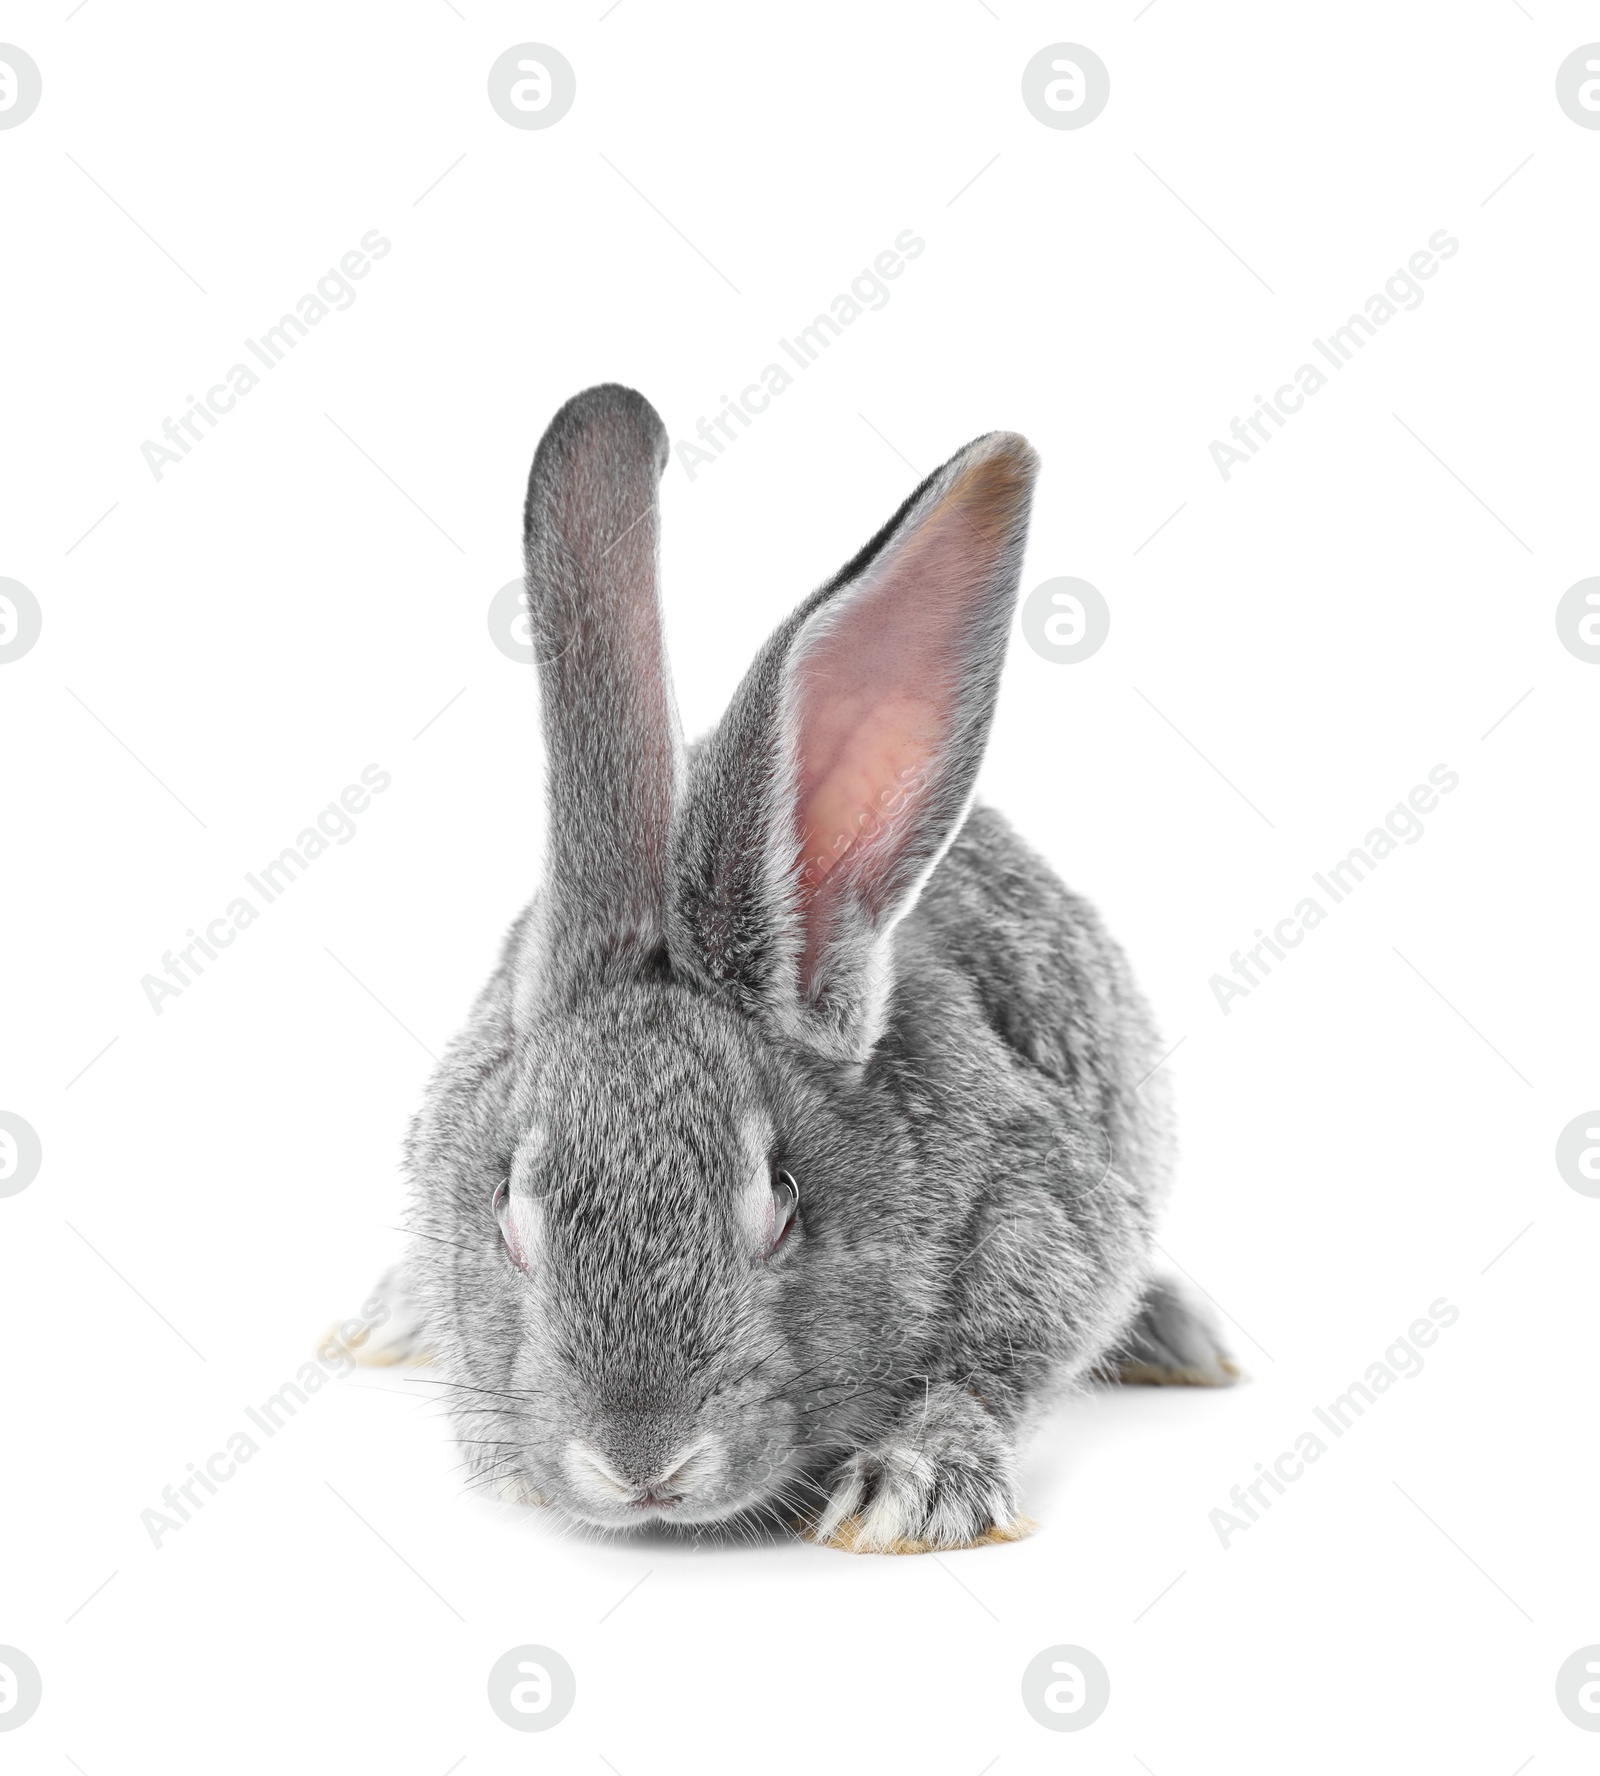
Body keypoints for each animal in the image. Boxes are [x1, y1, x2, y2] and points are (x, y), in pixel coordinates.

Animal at [378, 385, 1235, 1555]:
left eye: (783, 1198)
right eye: (507, 1207)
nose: (640, 1462)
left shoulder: (1052, 1224)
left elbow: (995, 1373)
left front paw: (915, 1488)